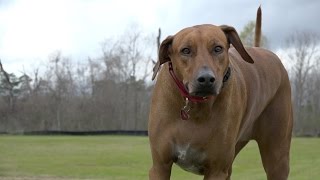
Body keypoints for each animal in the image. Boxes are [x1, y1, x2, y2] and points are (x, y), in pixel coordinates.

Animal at [148, 7, 292, 180]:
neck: (194, 105)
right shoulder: (159, 166)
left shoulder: (216, 170)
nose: (206, 79)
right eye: (185, 50)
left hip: (277, 158)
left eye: (218, 48)